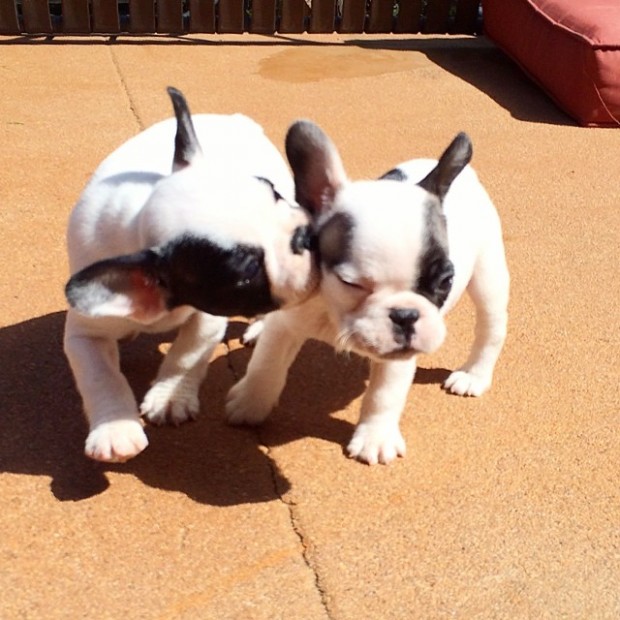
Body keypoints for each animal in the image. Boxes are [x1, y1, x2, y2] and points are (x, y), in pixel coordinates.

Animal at [63, 89, 318, 462]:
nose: (304, 235)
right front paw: (115, 429)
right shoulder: (85, 332)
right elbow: (101, 376)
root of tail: (233, 119)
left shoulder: (209, 314)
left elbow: (187, 351)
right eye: (248, 270)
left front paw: (170, 397)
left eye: (275, 193)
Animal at [226, 118, 508, 464]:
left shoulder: (399, 354)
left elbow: (384, 394)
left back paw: (473, 375)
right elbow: (265, 366)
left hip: (489, 275)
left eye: (445, 281)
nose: (405, 315)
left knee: (490, 328)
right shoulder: (287, 326)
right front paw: (249, 405)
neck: (334, 314)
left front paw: (374, 438)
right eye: (352, 283)